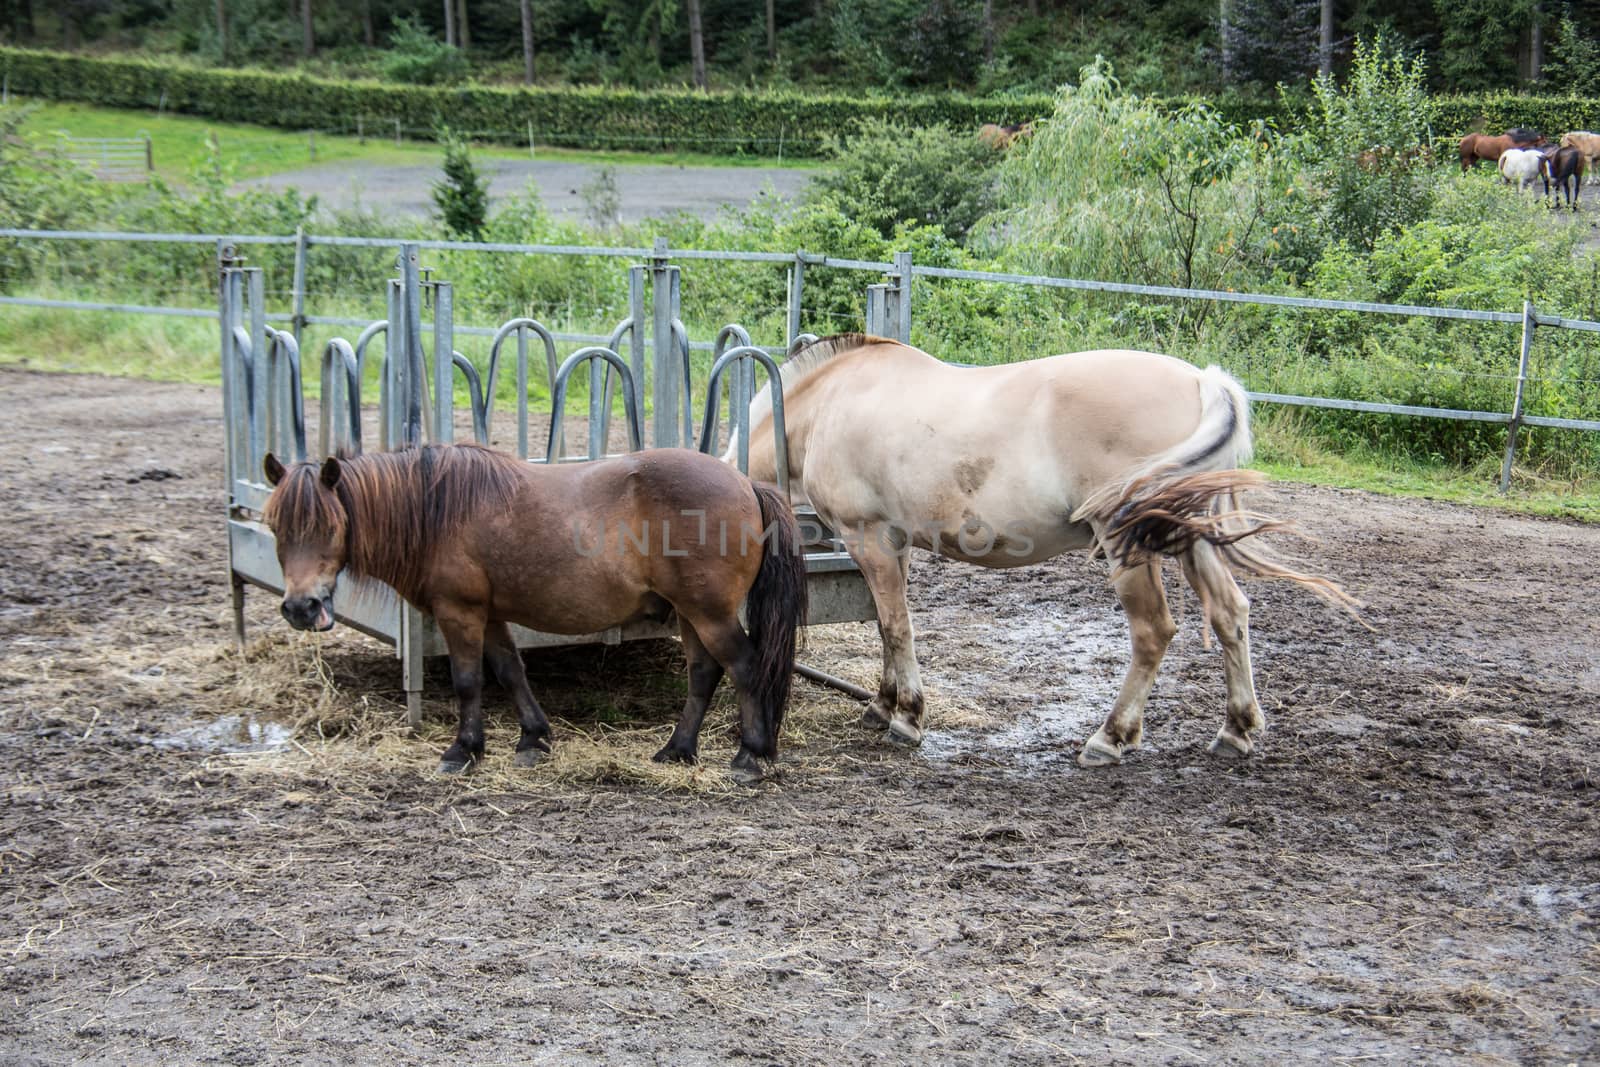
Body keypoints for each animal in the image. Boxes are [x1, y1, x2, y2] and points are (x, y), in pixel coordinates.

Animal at [268, 441, 812, 783]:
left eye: (328, 525)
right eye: (276, 526)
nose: (300, 607)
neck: (436, 511)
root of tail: (746, 484)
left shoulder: (459, 611)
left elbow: (469, 681)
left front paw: (463, 750)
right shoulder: (488, 614)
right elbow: (510, 671)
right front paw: (533, 739)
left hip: (709, 613)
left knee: (744, 667)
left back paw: (749, 756)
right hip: (689, 612)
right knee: (703, 674)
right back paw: (677, 750)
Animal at [732, 337, 1356, 764]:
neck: (828, 403)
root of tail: (1202, 382)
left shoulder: (871, 538)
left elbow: (895, 627)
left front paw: (906, 717)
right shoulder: (895, 544)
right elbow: (891, 628)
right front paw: (883, 703)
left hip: (1129, 547)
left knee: (1153, 632)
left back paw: (1110, 737)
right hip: (1190, 538)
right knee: (1231, 615)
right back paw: (1236, 729)